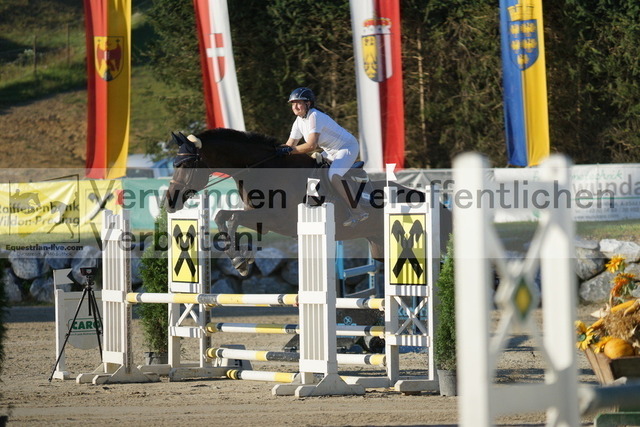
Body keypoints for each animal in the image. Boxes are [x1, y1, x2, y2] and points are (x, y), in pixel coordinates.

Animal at [162, 129, 428, 278]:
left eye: (186, 165)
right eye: (174, 164)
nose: (169, 202)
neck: (261, 169)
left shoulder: (277, 219)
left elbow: (234, 218)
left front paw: (242, 260)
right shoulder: (258, 216)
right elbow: (221, 217)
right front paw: (240, 260)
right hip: (379, 246)